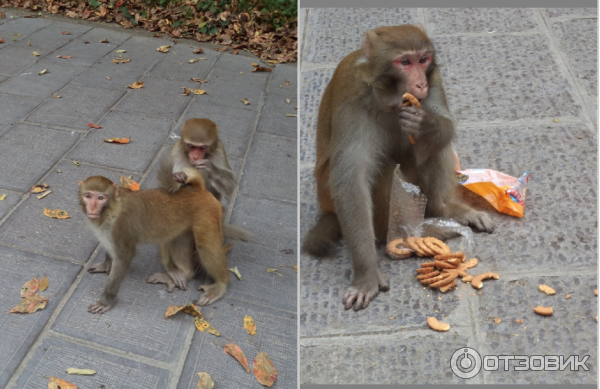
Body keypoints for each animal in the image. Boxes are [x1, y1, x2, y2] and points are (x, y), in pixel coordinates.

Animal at [78, 168, 229, 314]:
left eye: (101, 197)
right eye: (88, 196)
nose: (92, 208)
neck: (111, 209)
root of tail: (198, 190)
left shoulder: (120, 227)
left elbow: (124, 257)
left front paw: (106, 301)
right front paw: (106, 265)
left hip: (207, 215)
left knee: (207, 247)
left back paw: (221, 284)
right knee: (177, 238)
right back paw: (183, 273)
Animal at [302, 24, 494, 310]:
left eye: (423, 59)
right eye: (405, 62)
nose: (420, 83)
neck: (388, 99)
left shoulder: (435, 82)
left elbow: (443, 130)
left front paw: (428, 125)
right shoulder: (353, 101)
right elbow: (352, 179)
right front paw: (367, 275)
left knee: (432, 149)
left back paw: (444, 209)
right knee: (381, 170)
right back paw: (400, 234)